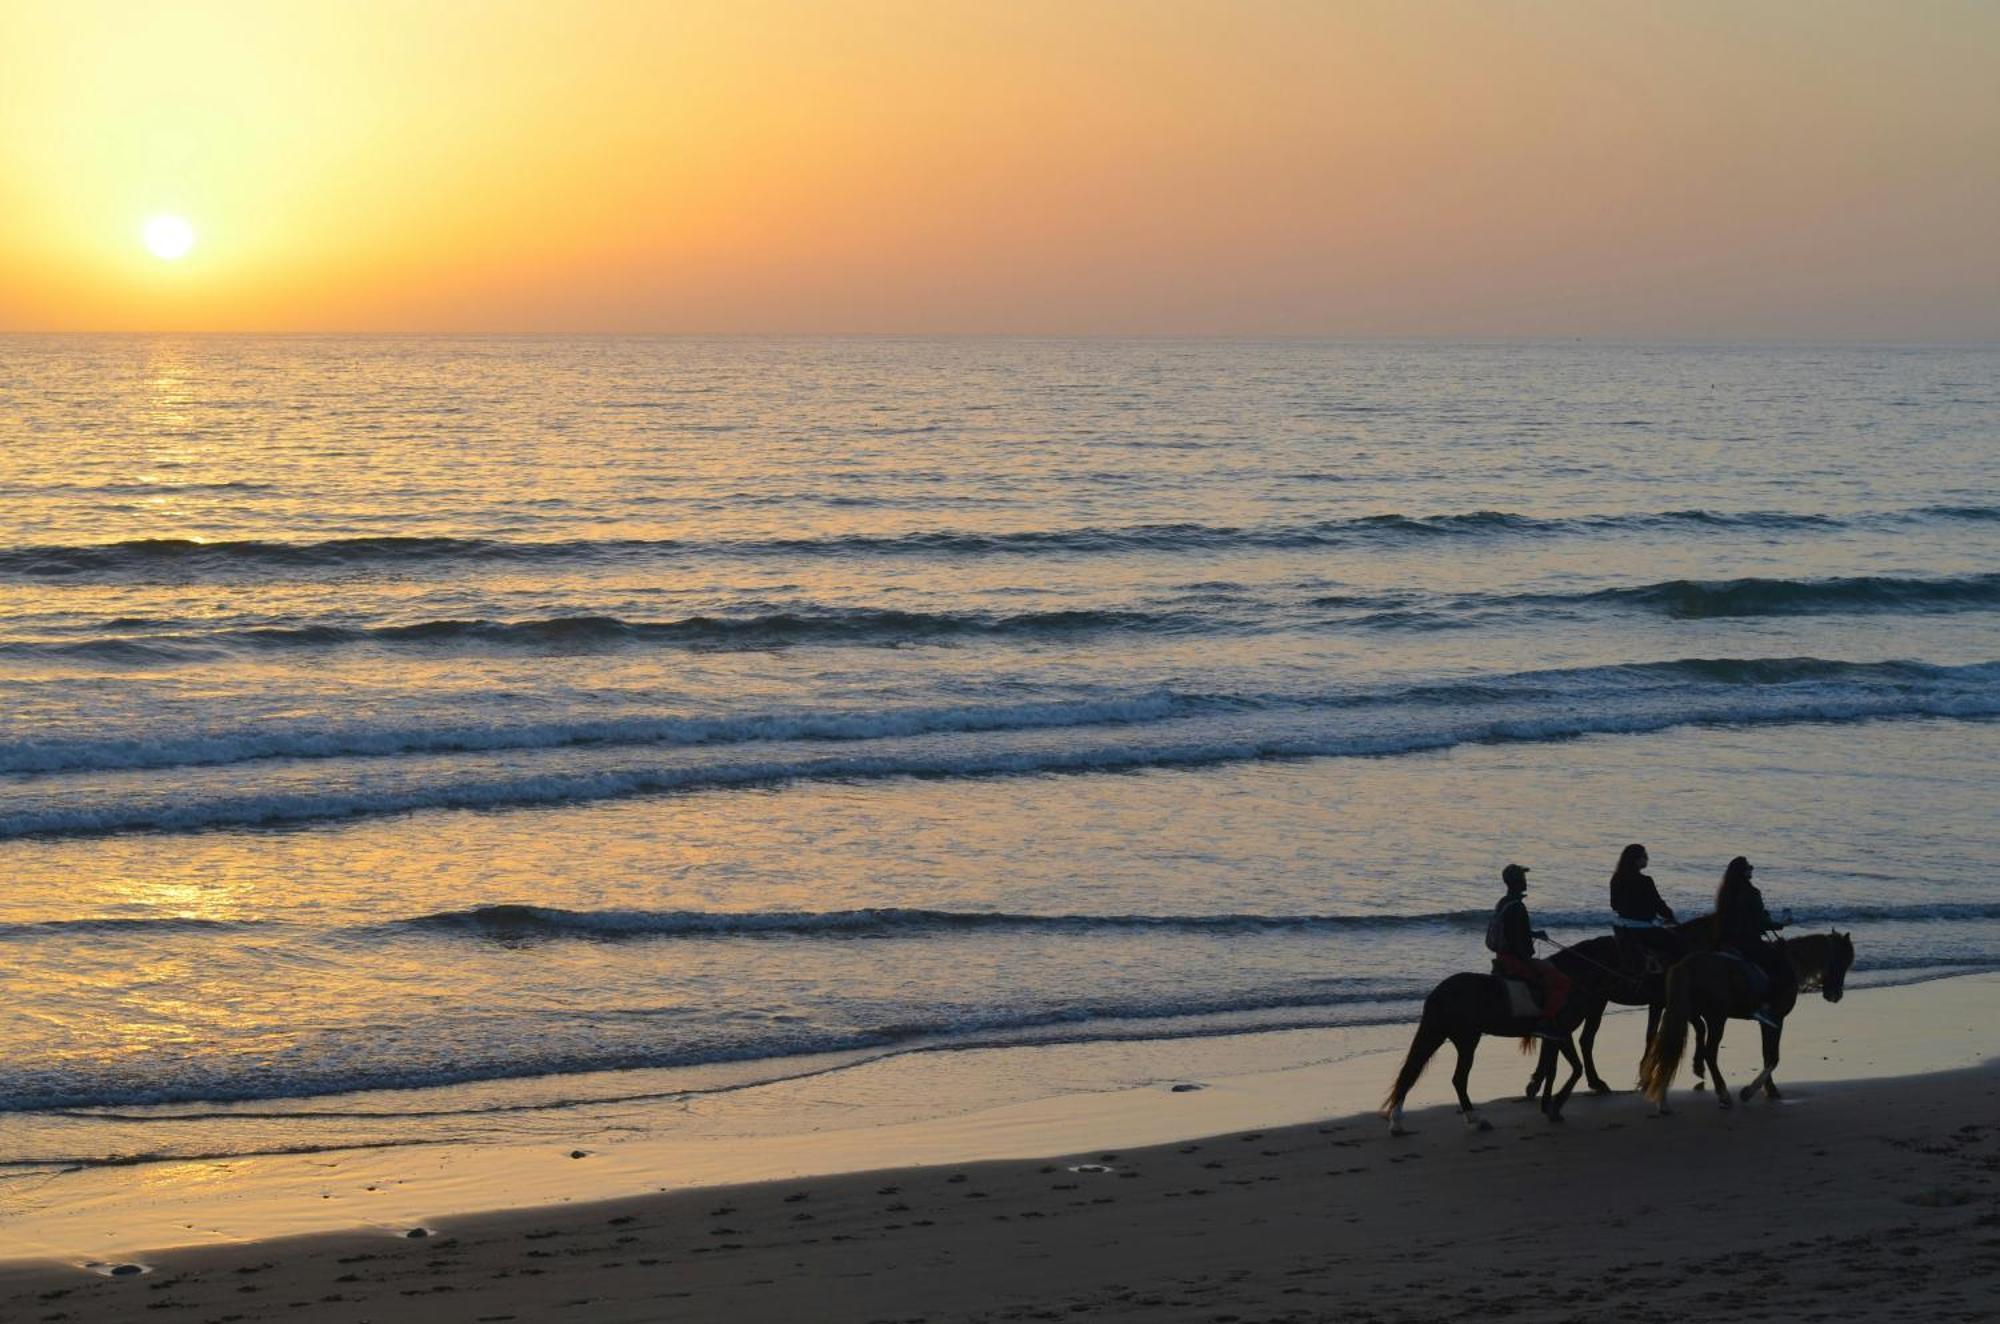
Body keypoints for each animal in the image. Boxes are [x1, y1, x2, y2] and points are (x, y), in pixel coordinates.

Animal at [1640, 932, 1856, 1120]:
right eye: (1843, 961)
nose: (1836, 995)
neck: (1789, 963)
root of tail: (1686, 966)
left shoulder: (1765, 1022)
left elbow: (1766, 1054)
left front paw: (1770, 1089)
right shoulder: (1776, 1020)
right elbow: (1773, 1058)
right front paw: (1749, 1092)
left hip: (1688, 1014)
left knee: (1671, 1048)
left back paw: (1663, 1102)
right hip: (1717, 1018)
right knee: (1709, 1053)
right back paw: (1723, 1095)